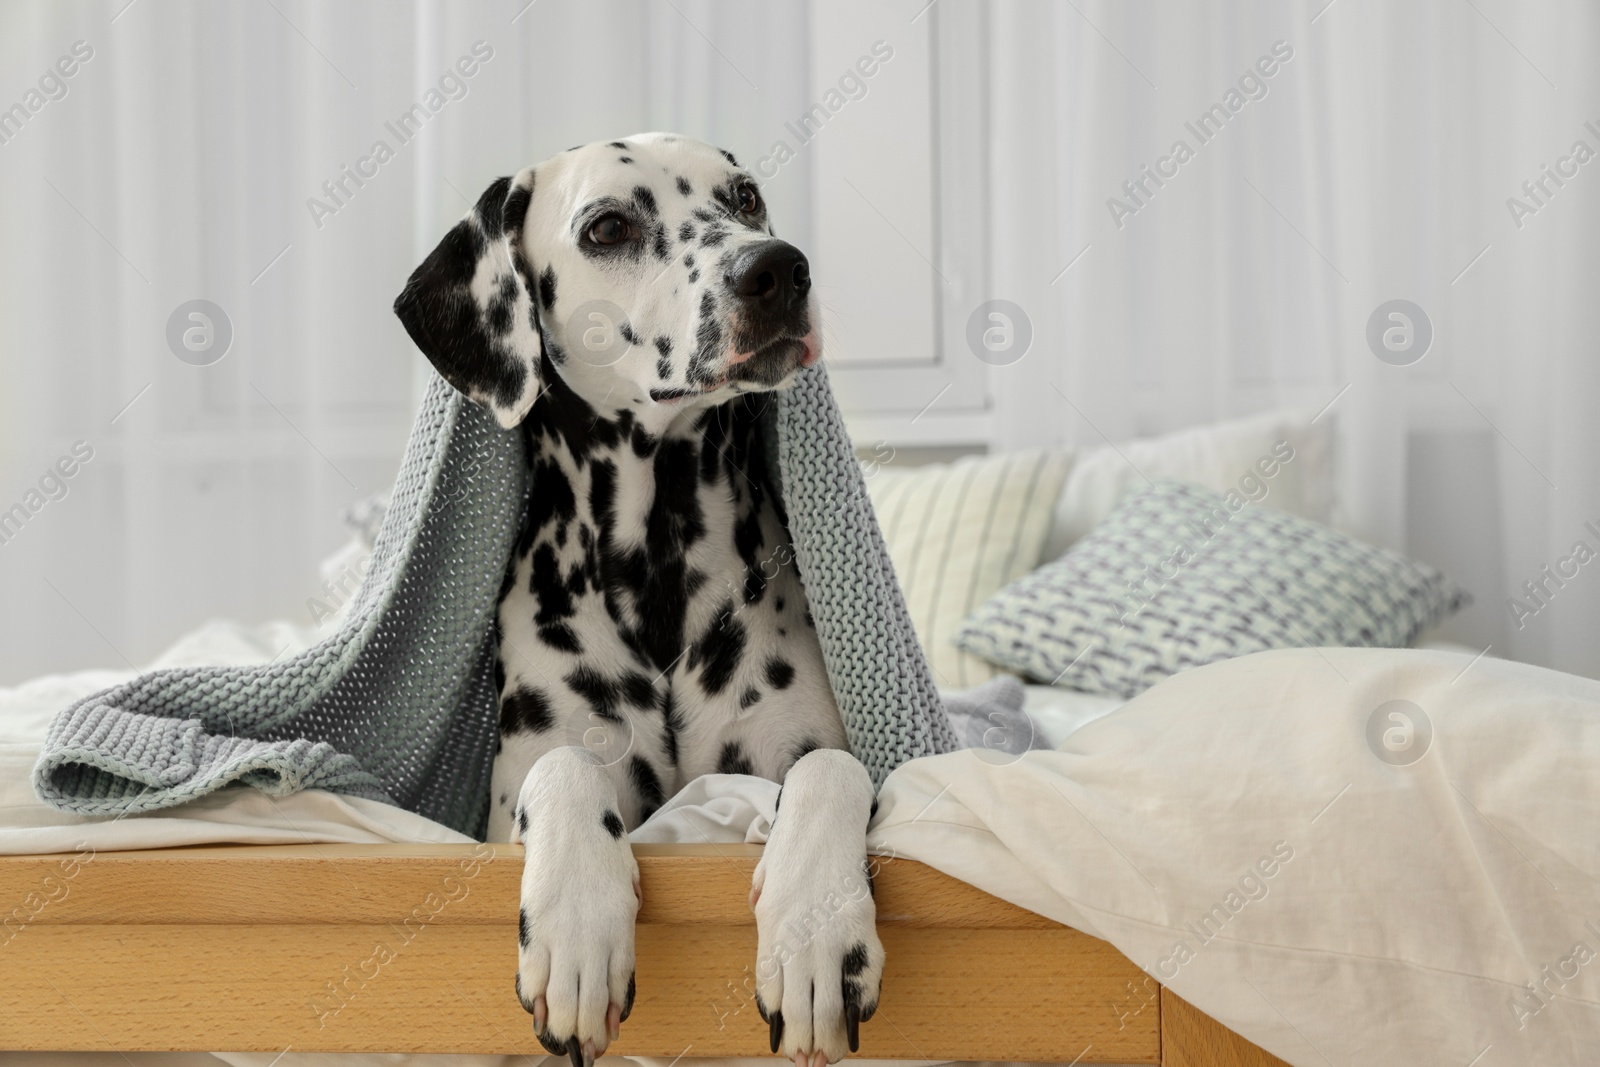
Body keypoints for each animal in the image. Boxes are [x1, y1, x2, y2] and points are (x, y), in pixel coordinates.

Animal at [392, 133, 883, 1067]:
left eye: (745, 197)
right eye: (609, 226)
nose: (777, 268)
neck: (661, 568)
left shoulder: (802, 750)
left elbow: (834, 769)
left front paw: (816, 929)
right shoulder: (513, 800)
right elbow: (564, 766)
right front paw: (578, 924)